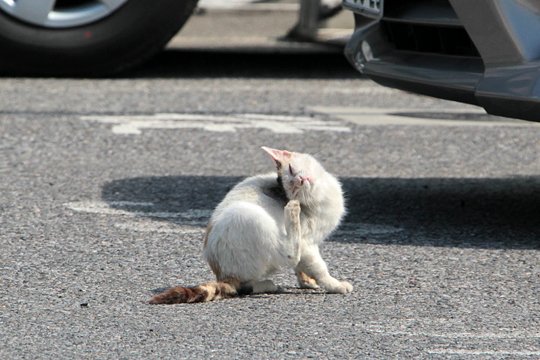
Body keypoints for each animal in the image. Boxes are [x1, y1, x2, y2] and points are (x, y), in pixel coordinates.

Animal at [150, 146, 352, 304]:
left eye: (292, 170)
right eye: (293, 186)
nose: (301, 181)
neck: (320, 195)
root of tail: (223, 275)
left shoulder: (312, 243)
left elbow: (302, 267)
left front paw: (306, 281)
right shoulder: (308, 244)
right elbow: (317, 266)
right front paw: (334, 285)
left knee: (245, 285)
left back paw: (264, 284)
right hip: (249, 216)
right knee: (289, 255)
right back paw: (291, 212)